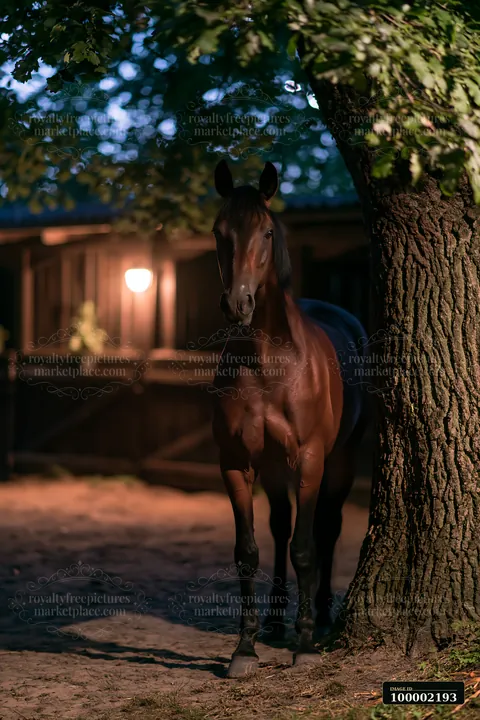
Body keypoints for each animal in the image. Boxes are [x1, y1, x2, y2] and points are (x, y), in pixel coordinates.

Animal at [211, 160, 367, 678]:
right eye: (219, 231)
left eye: (265, 232)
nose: (237, 304)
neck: (268, 362)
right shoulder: (236, 463)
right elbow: (248, 551)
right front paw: (245, 648)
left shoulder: (311, 459)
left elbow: (306, 546)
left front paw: (303, 644)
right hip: (275, 468)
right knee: (280, 527)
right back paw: (277, 621)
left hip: (339, 460)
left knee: (327, 527)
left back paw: (320, 616)